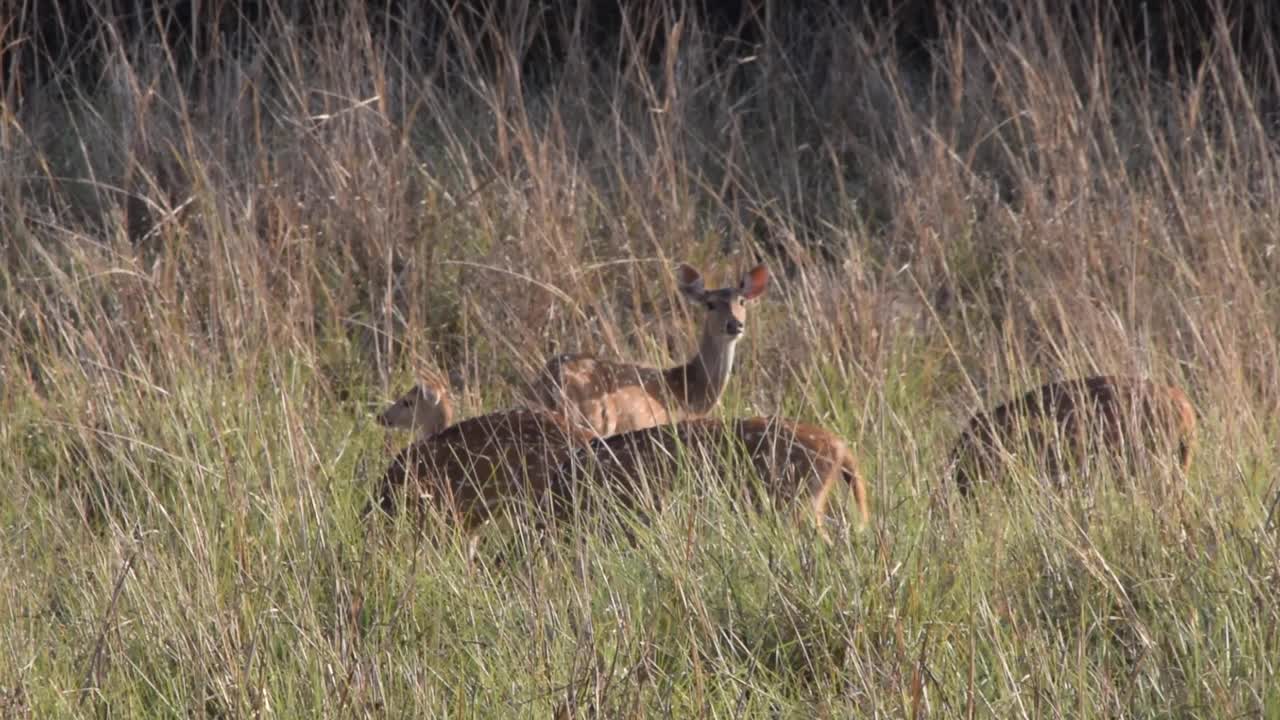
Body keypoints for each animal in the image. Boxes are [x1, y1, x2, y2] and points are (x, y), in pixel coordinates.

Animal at [529, 260, 768, 435]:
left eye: (742, 302)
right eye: (710, 304)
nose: (734, 324)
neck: (692, 393)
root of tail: (555, 378)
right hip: (594, 420)